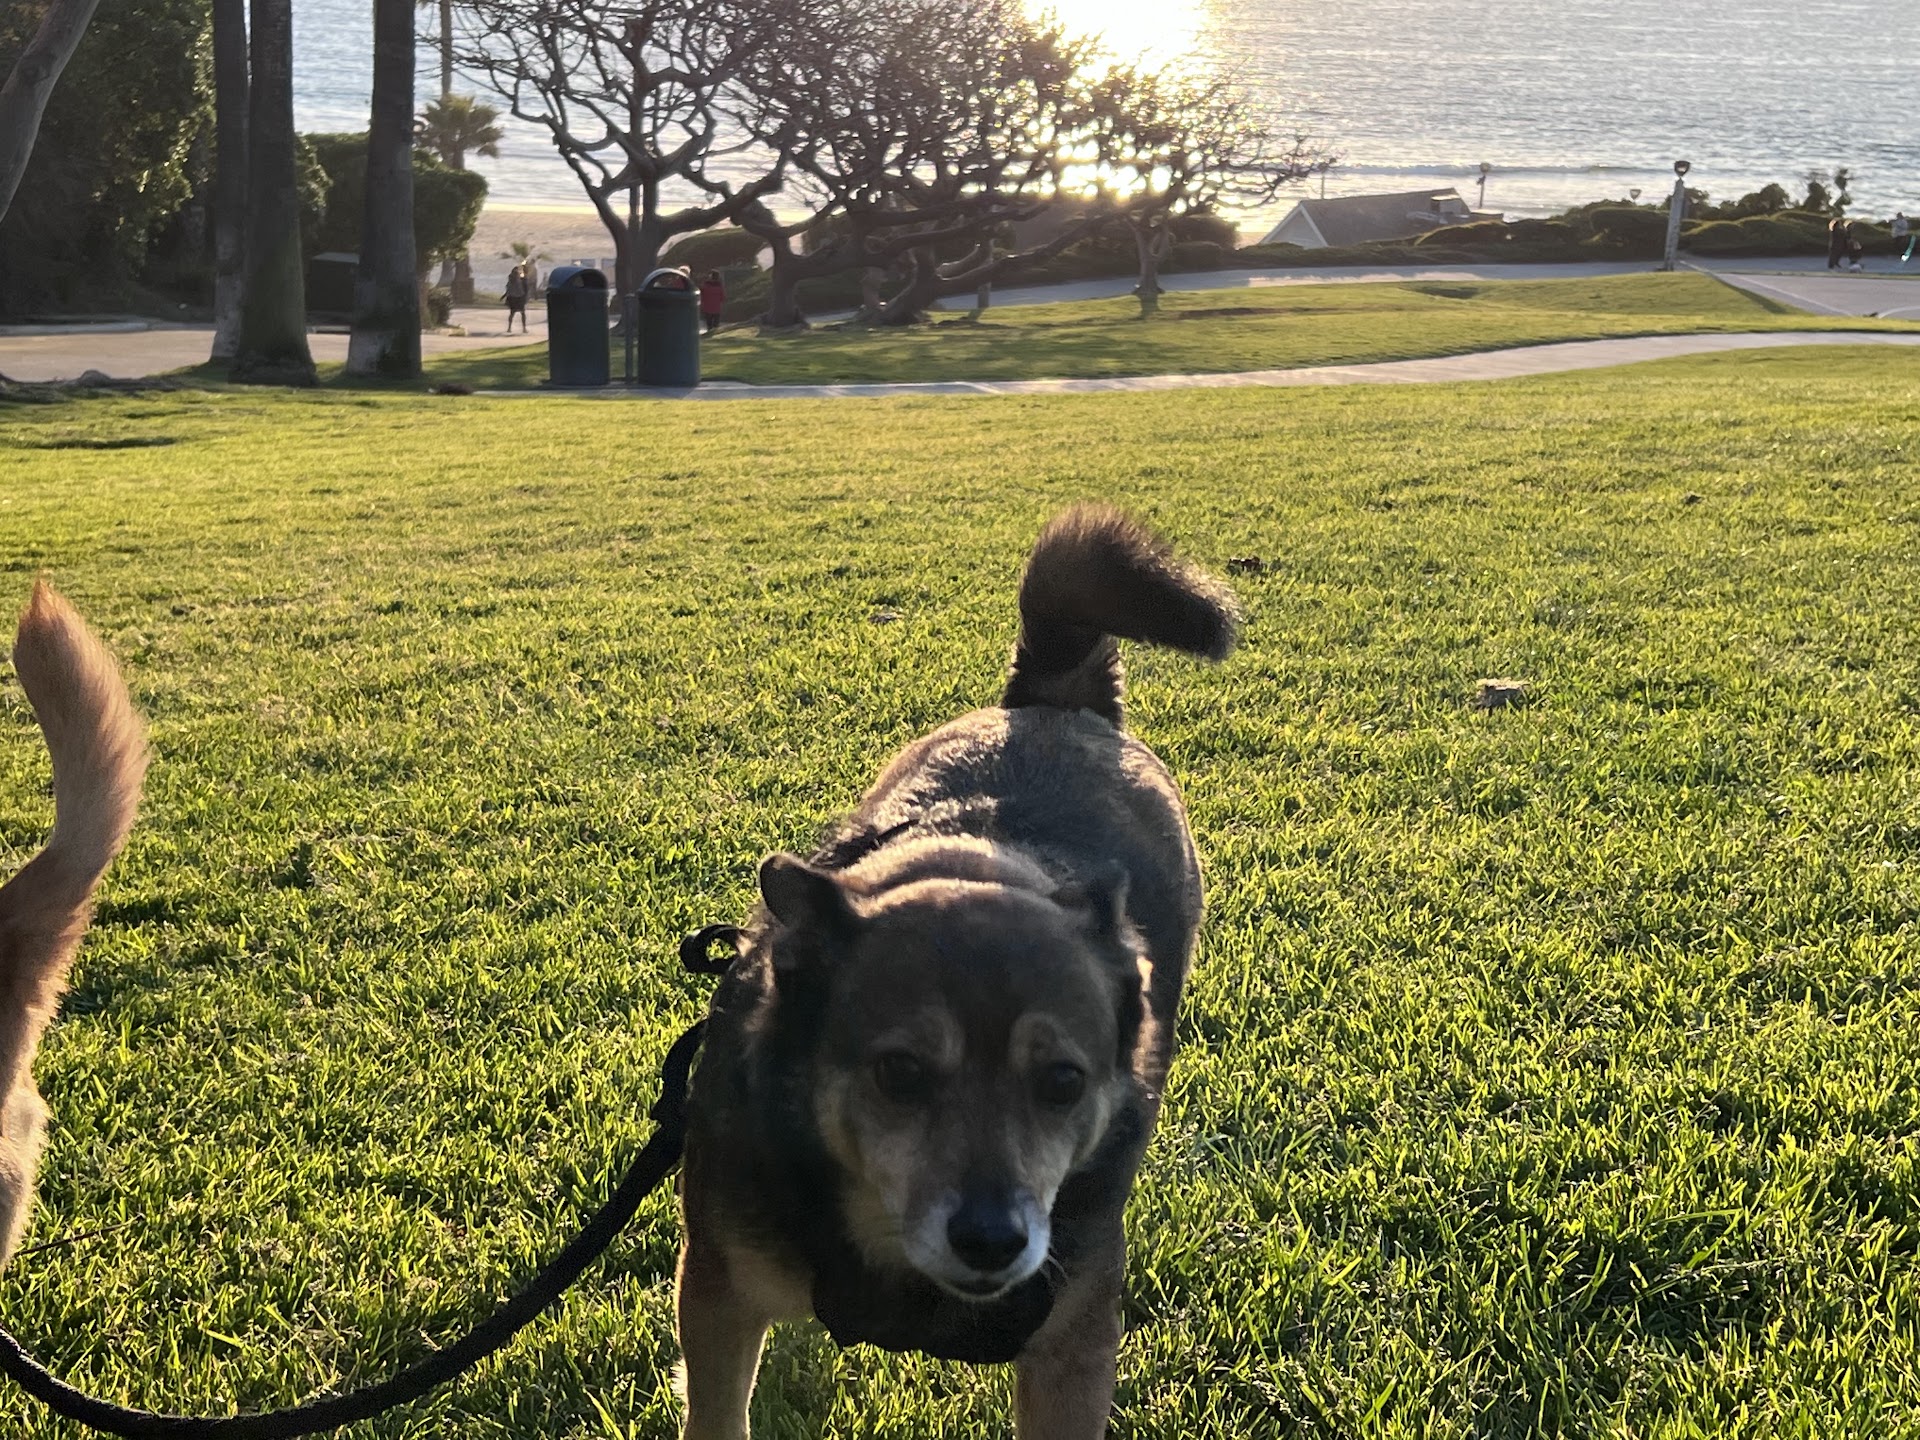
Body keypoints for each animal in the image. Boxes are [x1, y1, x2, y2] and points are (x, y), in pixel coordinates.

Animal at [676, 507, 1237, 1438]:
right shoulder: (719, 1291)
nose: (991, 1240)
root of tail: (1052, 698)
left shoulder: (1072, 1343)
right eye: (899, 1073)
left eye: (1063, 1082)